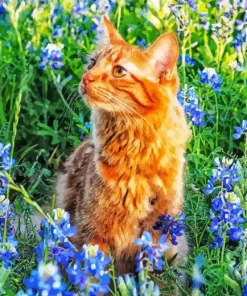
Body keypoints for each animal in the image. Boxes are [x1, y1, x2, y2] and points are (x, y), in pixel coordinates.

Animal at [57, 16, 190, 276]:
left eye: (119, 71)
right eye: (92, 63)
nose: (86, 78)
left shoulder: (159, 232)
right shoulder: (93, 231)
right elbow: (93, 276)